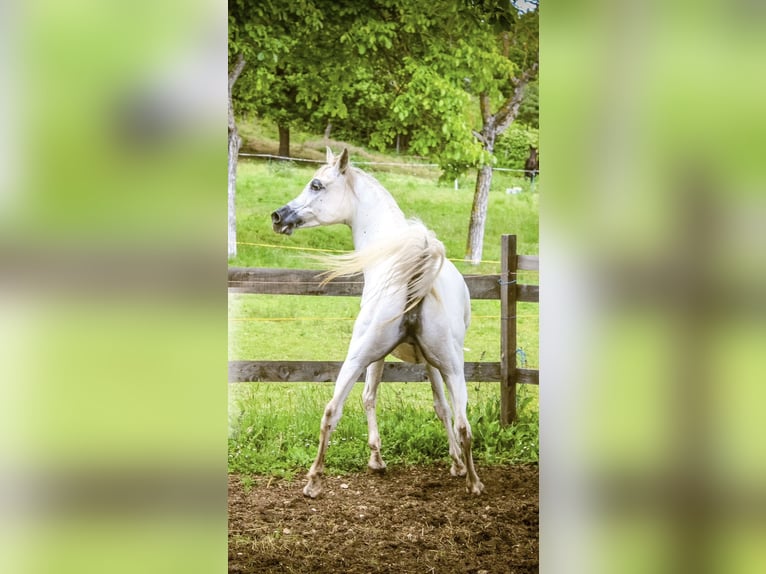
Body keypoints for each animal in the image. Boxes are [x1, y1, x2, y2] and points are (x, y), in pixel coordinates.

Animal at [271, 147, 484, 498]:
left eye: (316, 184)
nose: (278, 216)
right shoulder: (427, 362)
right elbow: (438, 406)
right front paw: (454, 464)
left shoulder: (383, 358)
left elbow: (374, 398)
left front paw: (377, 459)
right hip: (449, 367)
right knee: (463, 422)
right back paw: (474, 483)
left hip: (365, 356)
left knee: (332, 411)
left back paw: (314, 482)